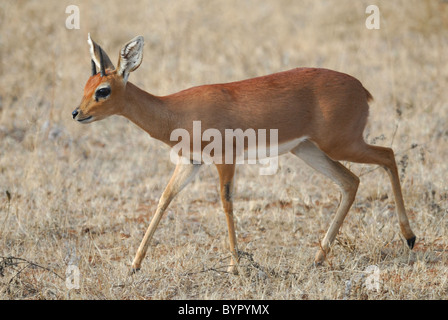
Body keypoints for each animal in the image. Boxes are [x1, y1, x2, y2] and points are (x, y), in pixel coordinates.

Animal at [72, 35, 416, 276]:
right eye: (86, 84)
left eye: (103, 90)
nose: (77, 113)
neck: (175, 111)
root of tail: (361, 88)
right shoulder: (190, 162)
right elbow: (164, 199)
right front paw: (134, 265)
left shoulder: (225, 159)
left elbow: (226, 203)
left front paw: (234, 266)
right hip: (308, 149)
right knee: (350, 182)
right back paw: (318, 258)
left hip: (342, 144)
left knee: (387, 155)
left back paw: (410, 238)